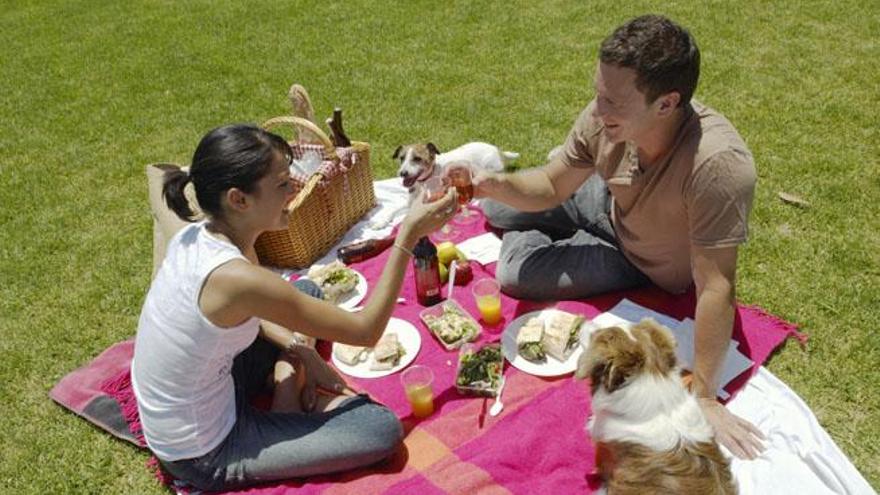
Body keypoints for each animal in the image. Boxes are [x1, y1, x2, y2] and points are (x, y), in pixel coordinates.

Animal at [370, 142, 520, 230]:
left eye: (417, 159)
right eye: (401, 158)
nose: (402, 173)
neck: (425, 181)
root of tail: (497, 150)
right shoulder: (411, 202)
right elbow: (392, 210)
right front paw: (381, 222)